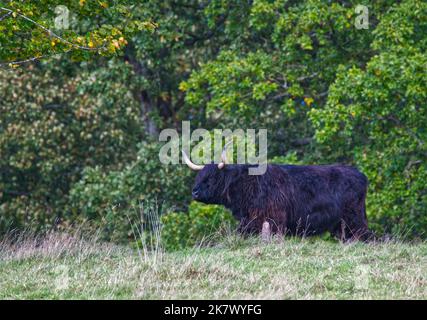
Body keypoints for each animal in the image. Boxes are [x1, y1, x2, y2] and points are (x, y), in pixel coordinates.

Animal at [182, 149, 376, 241]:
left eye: (212, 177)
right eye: (199, 177)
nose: (195, 192)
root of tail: (361, 174)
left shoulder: (274, 219)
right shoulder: (249, 221)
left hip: (354, 218)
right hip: (341, 224)